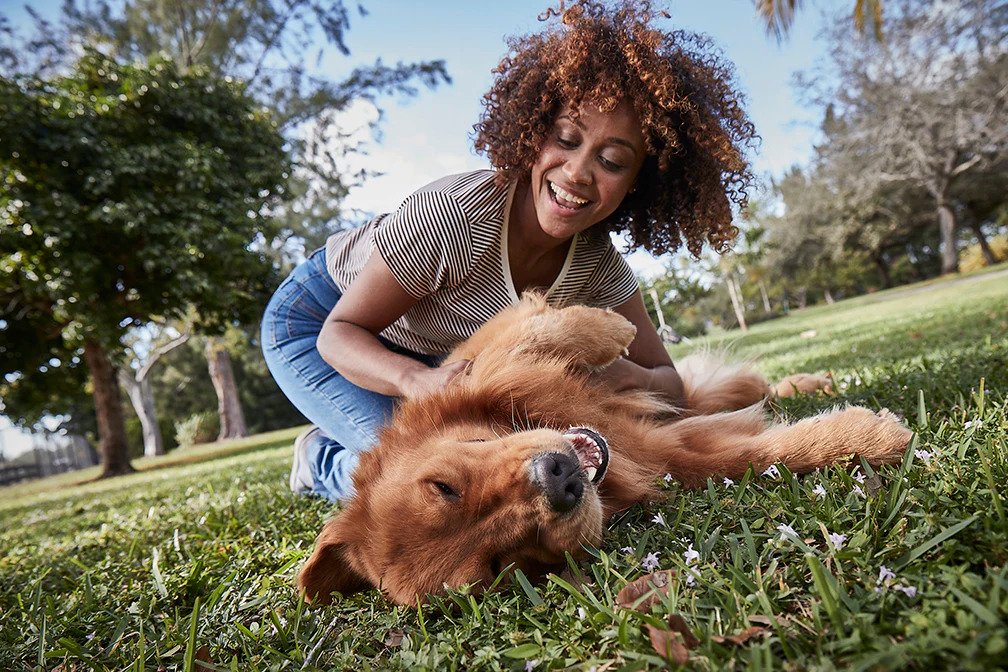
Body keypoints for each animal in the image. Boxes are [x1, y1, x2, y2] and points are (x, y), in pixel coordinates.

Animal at [296, 294, 915, 604]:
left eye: (444, 486)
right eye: (501, 566)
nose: (561, 479)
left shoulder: (486, 363)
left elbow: (541, 329)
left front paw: (608, 328)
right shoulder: (670, 454)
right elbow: (754, 458)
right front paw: (869, 438)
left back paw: (811, 382)